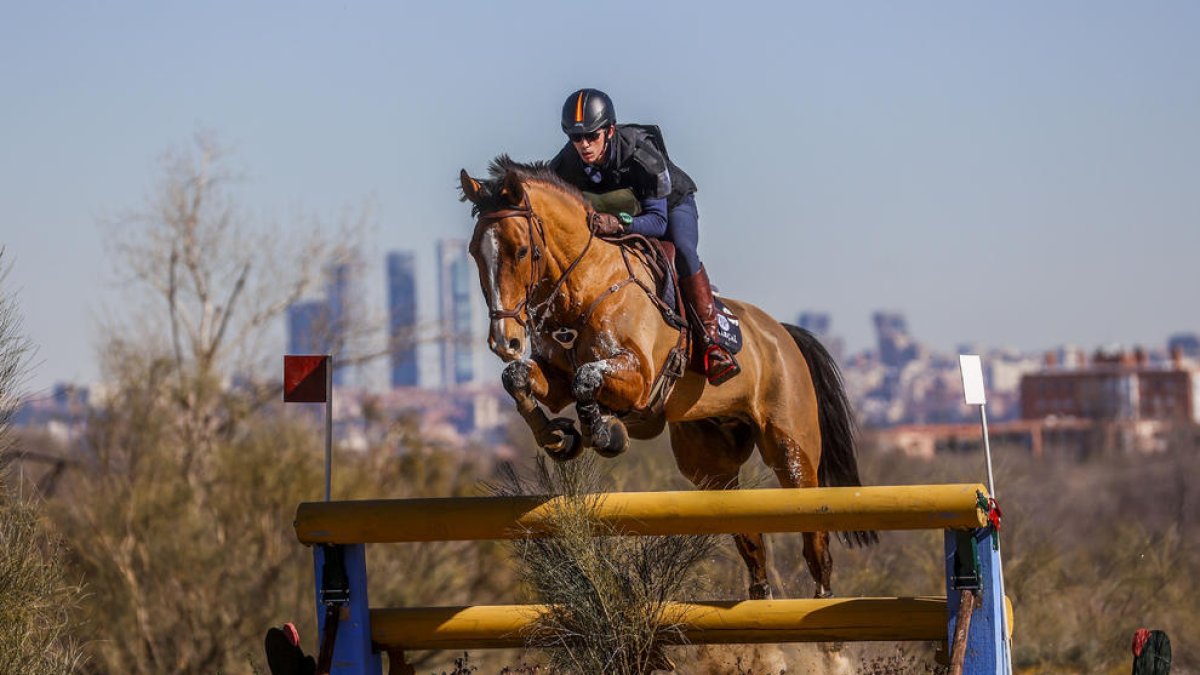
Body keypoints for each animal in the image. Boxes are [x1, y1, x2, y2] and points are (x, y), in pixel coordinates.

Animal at [458, 154, 873, 595]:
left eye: (521, 251)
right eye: (474, 252)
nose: (505, 341)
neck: (585, 286)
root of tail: (783, 334)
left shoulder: (639, 379)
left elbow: (586, 377)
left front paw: (605, 433)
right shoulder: (554, 379)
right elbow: (519, 378)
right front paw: (558, 437)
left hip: (791, 449)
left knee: (815, 542)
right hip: (710, 464)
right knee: (751, 541)